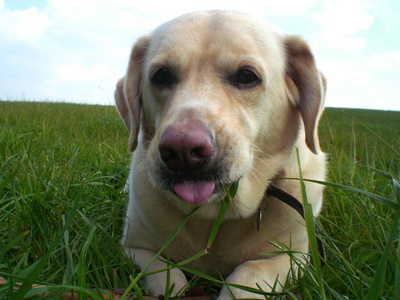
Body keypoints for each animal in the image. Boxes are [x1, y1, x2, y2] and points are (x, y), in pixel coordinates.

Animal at [114, 10, 326, 298]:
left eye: (246, 76)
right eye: (161, 76)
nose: (183, 149)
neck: (213, 215)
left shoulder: (295, 257)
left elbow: (249, 272)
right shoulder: (134, 247)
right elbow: (167, 276)